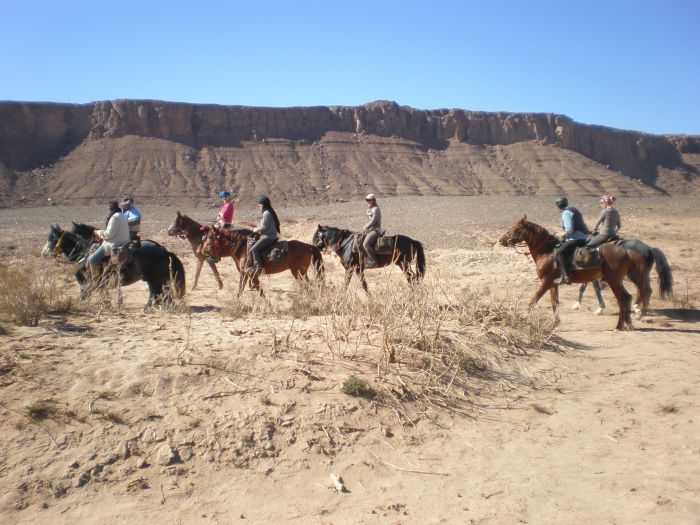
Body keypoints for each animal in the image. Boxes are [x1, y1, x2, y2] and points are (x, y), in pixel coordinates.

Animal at [43, 225, 186, 308]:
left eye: (52, 237)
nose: (44, 253)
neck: (83, 252)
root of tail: (163, 250)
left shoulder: (87, 280)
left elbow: (87, 291)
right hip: (160, 278)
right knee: (161, 293)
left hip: (153, 279)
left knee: (154, 292)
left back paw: (149, 306)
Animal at [498, 216, 644, 330]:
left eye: (515, 229)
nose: (501, 240)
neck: (547, 252)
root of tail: (625, 251)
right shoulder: (553, 284)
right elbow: (554, 303)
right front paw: (555, 324)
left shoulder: (545, 282)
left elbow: (533, 300)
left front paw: (523, 318)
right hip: (616, 281)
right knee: (626, 298)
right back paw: (627, 324)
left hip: (613, 281)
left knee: (622, 299)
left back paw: (620, 325)